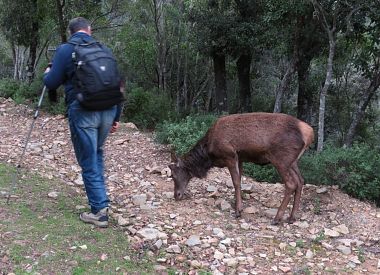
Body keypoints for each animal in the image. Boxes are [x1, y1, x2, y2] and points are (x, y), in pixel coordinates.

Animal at [169, 113, 314, 225]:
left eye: (174, 175)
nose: (177, 195)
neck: (208, 154)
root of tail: (309, 133)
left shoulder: (230, 155)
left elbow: (236, 182)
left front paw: (238, 211)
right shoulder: (240, 158)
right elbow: (239, 180)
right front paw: (238, 206)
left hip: (281, 158)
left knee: (291, 183)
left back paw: (277, 218)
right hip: (293, 162)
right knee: (300, 180)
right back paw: (292, 217)